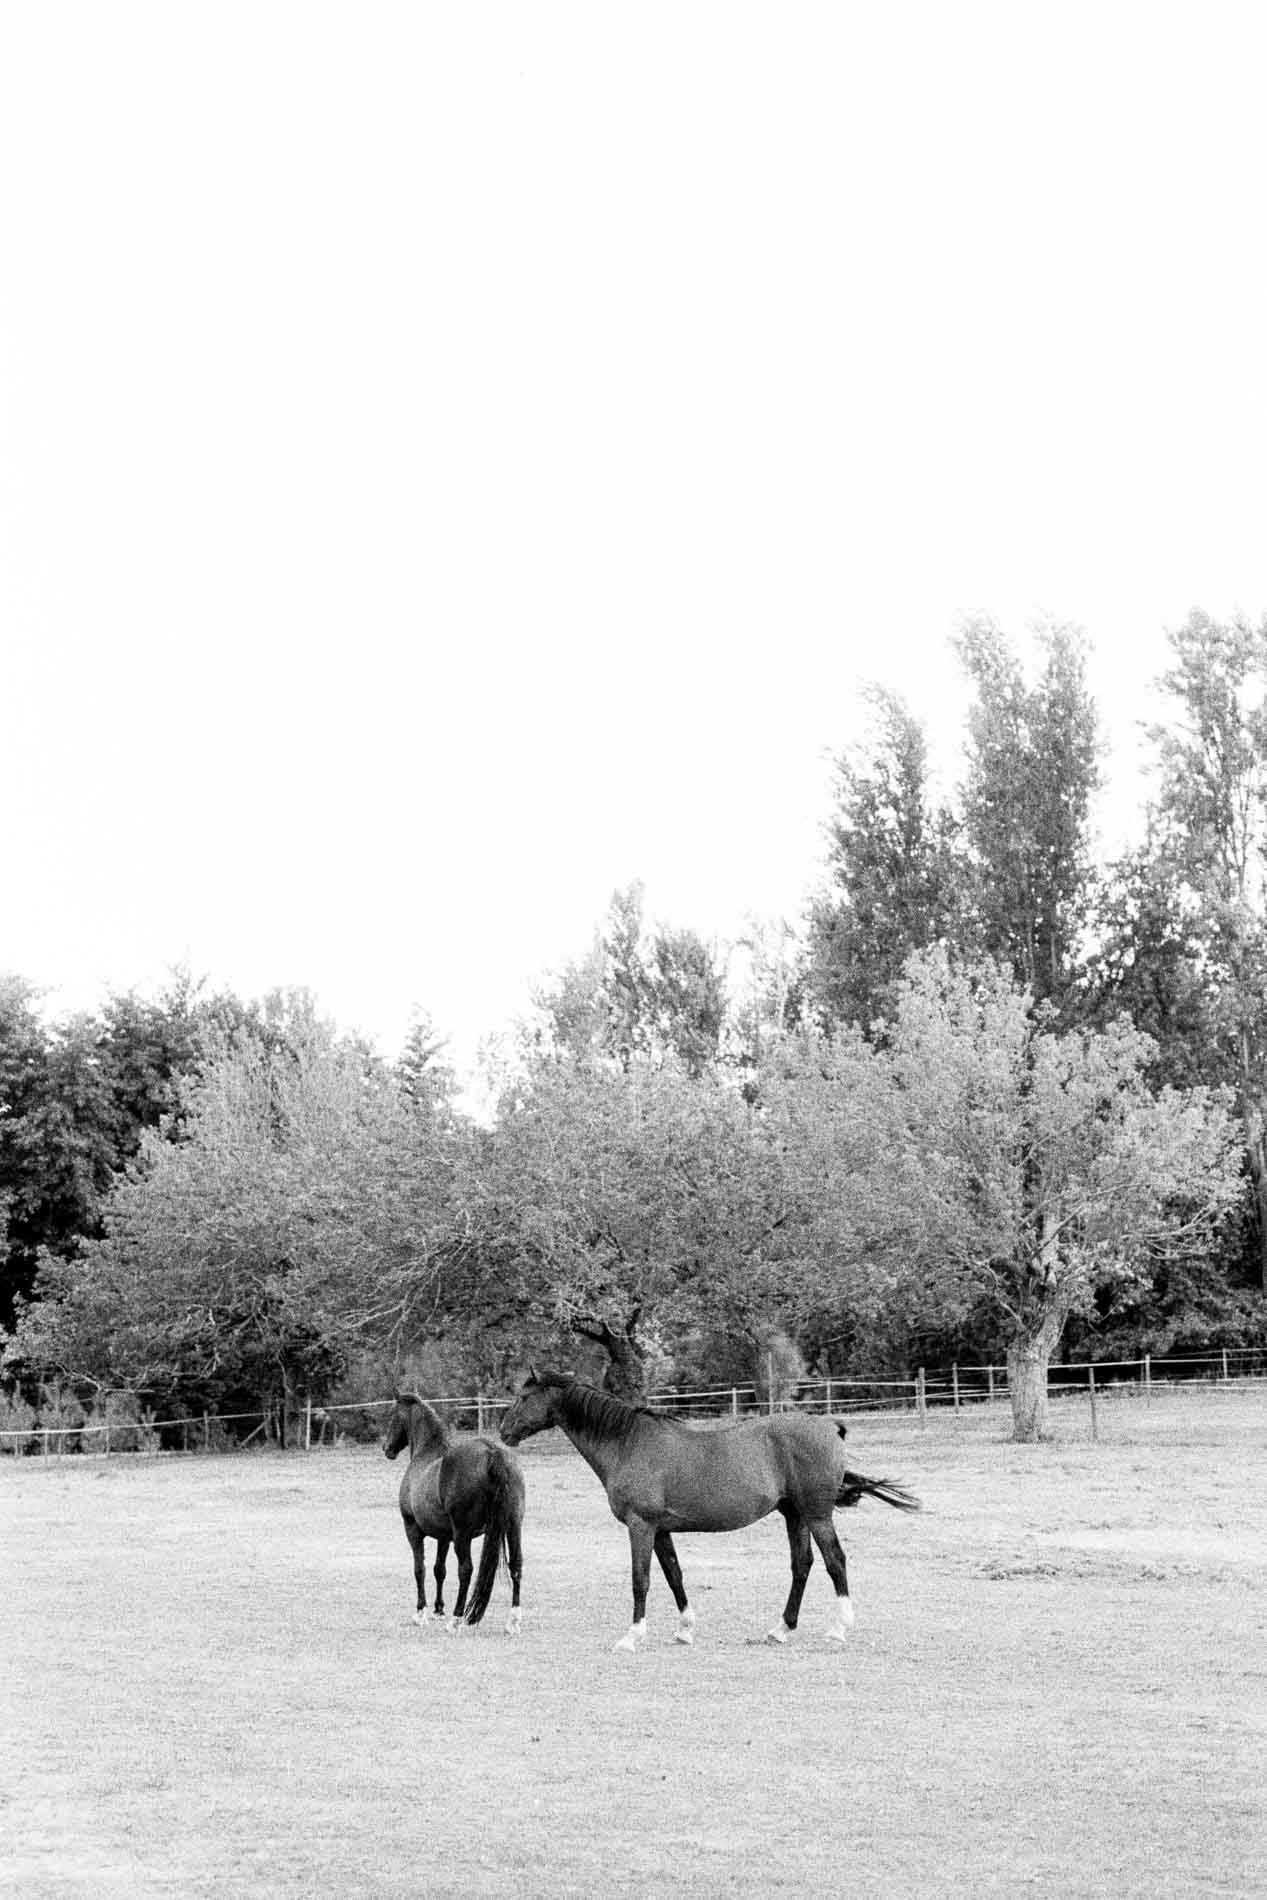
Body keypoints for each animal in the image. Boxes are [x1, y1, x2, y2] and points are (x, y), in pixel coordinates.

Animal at [383, 1390, 528, 1641]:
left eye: (392, 1415)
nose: (386, 1448)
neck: (426, 1454)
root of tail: (492, 1452)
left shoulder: (413, 1529)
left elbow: (420, 1569)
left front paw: (420, 1613)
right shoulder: (444, 1537)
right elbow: (439, 1570)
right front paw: (438, 1609)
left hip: (463, 1535)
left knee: (466, 1570)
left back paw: (456, 1619)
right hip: (512, 1526)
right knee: (516, 1565)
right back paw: (512, 1622)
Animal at [497, 1368, 923, 1649]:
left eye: (524, 1397)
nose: (503, 1432)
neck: (628, 1443)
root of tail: (829, 1427)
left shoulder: (640, 1526)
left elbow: (641, 1580)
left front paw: (632, 1636)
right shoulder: (660, 1530)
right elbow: (674, 1576)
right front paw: (685, 1629)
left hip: (817, 1515)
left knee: (835, 1561)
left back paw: (839, 1628)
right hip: (795, 1514)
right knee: (802, 1566)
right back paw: (781, 1629)